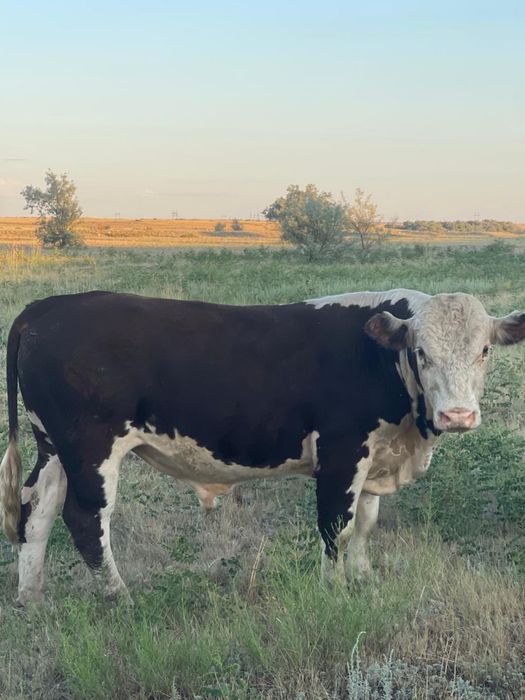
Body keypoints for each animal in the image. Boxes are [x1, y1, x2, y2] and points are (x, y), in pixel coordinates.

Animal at [1, 289, 524, 606]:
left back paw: (32, 599)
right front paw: (334, 592)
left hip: (53, 447)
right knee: (86, 519)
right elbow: (337, 527)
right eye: (421, 352)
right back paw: (120, 597)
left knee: (36, 513)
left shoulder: (376, 455)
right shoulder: (341, 453)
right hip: (92, 446)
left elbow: (366, 524)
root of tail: (48, 307)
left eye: (484, 350)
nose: (457, 415)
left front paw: (363, 580)